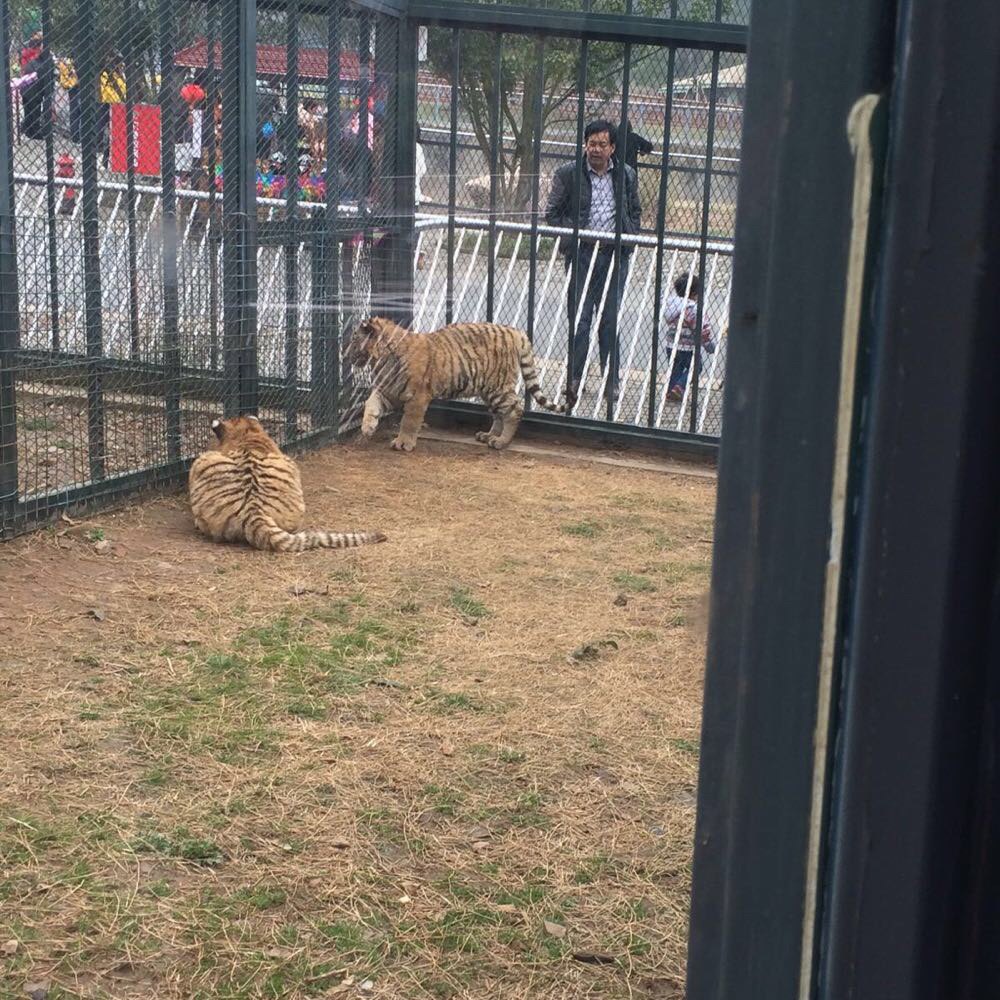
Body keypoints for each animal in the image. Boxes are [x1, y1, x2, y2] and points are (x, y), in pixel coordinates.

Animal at [348, 316, 576, 454]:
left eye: (353, 340)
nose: (346, 355)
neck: (380, 359)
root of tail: (516, 332)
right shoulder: (389, 391)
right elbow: (370, 403)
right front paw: (367, 427)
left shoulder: (418, 396)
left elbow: (409, 421)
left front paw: (403, 443)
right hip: (488, 390)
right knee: (499, 413)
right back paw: (489, 436)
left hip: (498, 388)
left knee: (514, 410)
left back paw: (501, 442)